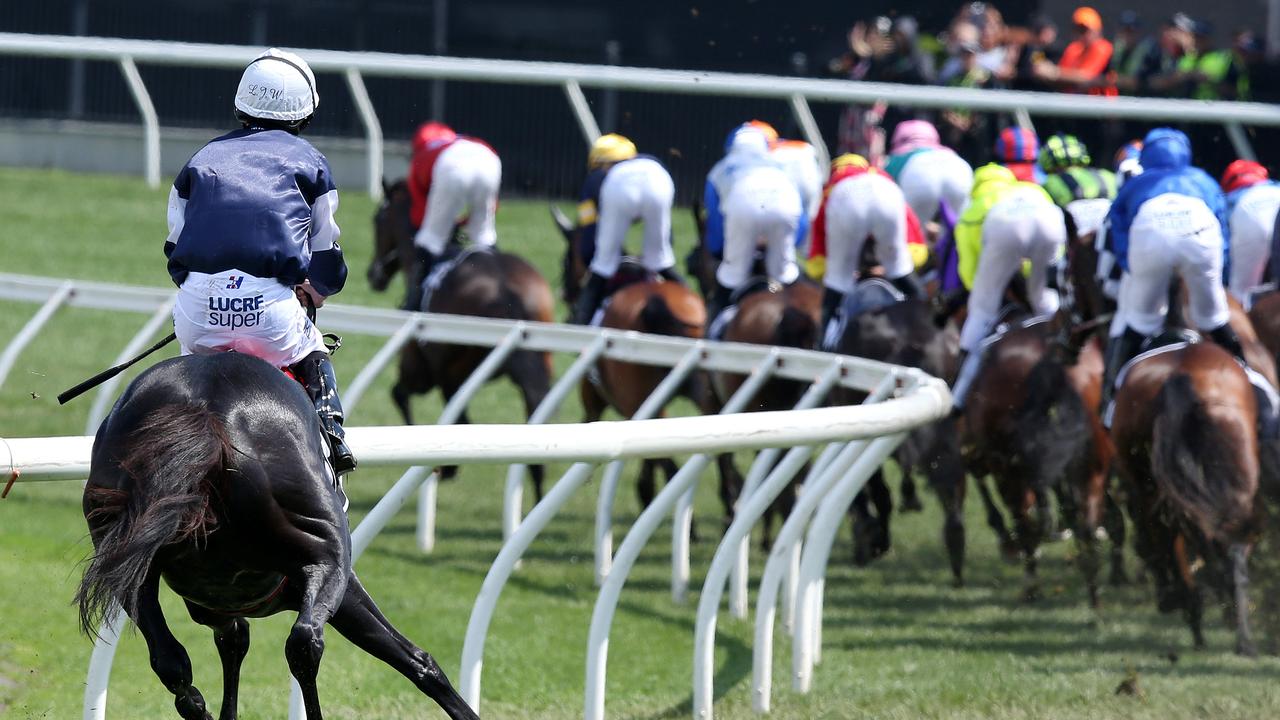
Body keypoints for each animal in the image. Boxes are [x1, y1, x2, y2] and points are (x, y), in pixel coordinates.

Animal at [80, 353, 481, 717]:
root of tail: (203, 409)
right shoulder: (343, 588)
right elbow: (419, 661)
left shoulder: (215, 603)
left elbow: (231, 642)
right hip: (325, 554)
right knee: (304, 643)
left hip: (125, 557)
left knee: (170, 660)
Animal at [368, 178, 552, 499]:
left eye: (378, 219)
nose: (373, 275)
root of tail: (506, 288)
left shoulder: (425, 369)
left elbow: (400, 394)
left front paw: (441, 465)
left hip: (451, 366)